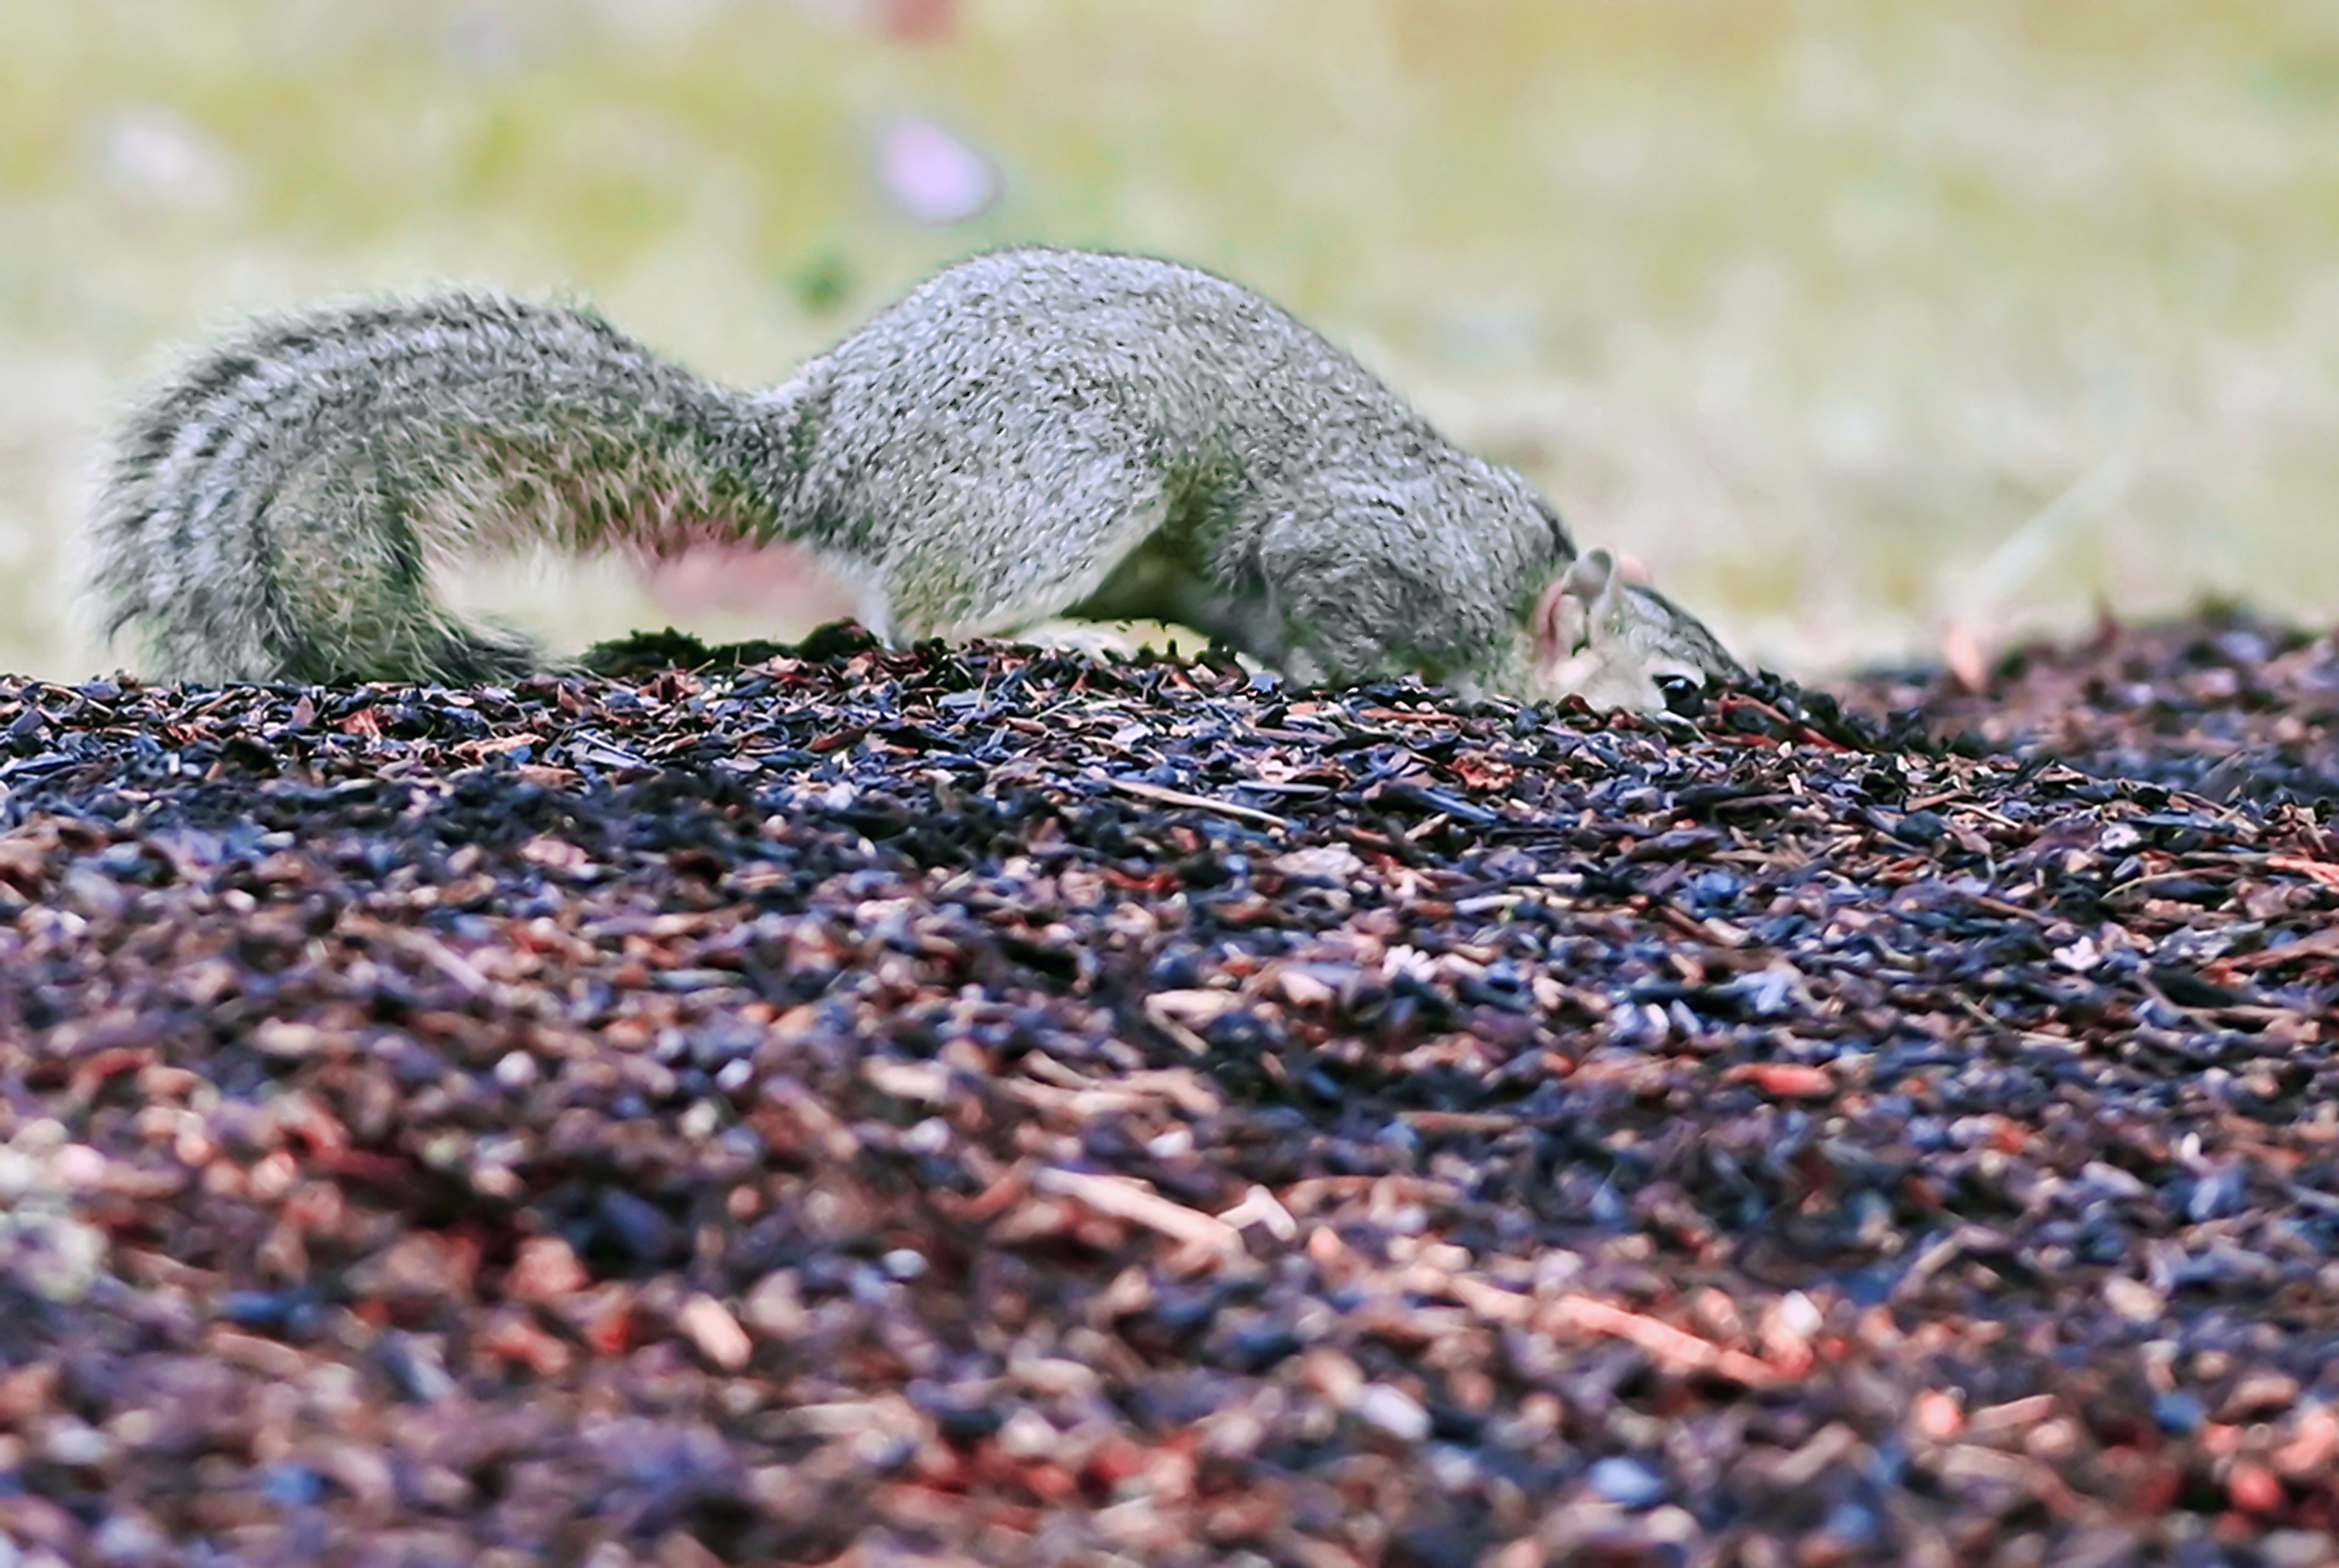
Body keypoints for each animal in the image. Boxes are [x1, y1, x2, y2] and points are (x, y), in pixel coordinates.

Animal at [86, 250, 1740, 711]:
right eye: (1689, 692)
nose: (1725, 720)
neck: (1518, 597)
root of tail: (824, 446)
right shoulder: (1372, 558)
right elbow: (1328, 609)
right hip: (1065, 479)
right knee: (924, 615)